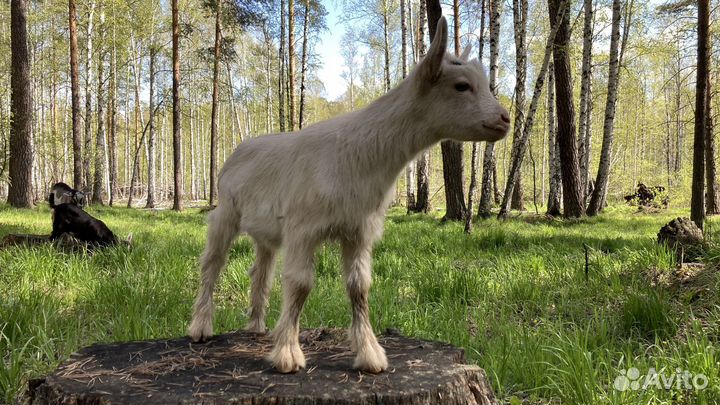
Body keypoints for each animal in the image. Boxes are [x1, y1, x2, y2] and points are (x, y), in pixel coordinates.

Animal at [189, 17, 510, 374]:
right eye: (462, 86)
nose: (505, 119)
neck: (362, 154)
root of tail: (240, 149)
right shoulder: (303, 228)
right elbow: (300, 283)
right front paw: (287, 353)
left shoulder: (359, 230)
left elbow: (360, 286)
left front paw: (370, 354)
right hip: (225, 212)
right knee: (212, 263)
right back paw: (201, 326)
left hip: (267, 230)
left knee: (261, 268)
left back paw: (257, 326)